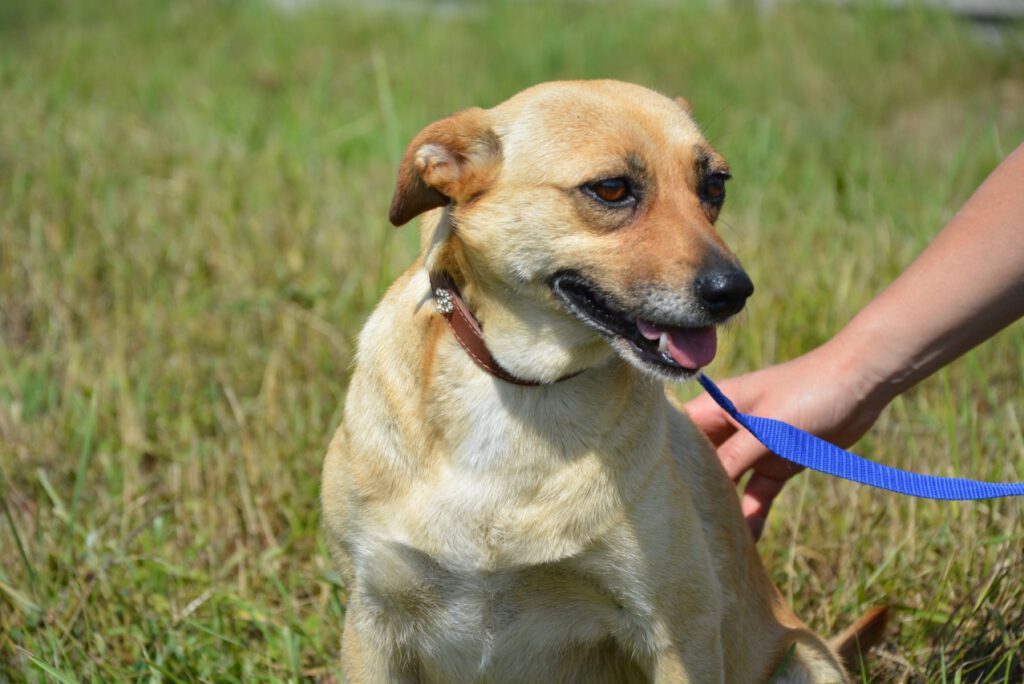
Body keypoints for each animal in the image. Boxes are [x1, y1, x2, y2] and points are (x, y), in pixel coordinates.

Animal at [323, 81, 884, 684]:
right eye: (612, 189)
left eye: (714, 187)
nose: (734, 291)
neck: (525, 389)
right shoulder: (372, 622)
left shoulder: (678, 631)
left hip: (805, 659)